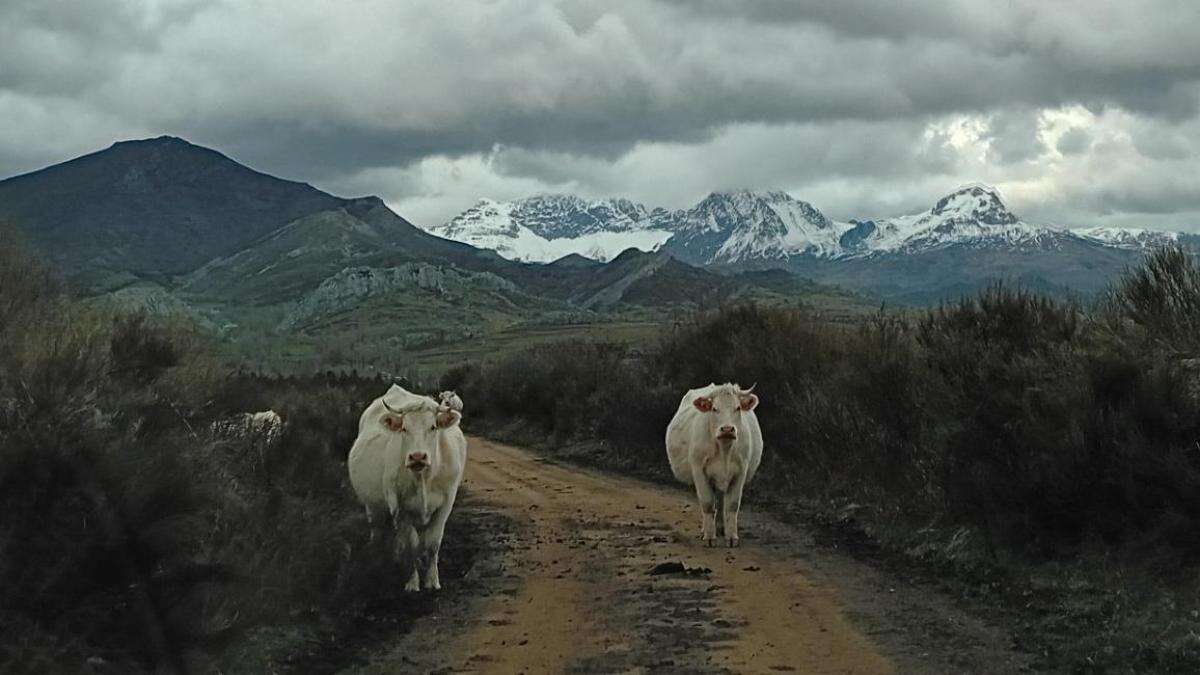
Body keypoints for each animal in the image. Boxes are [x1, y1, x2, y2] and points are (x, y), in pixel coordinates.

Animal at [348, 384, 463, 588]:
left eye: (433, 427)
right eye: (404, 428)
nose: (417, 456)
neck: (423, 477)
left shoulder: (445, 504)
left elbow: (433, 543)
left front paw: (432, 580)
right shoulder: (400, 508)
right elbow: (412, 546)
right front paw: (412, 582)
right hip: (374, 507)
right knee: (379, 532)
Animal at [662, 381, 763, 542]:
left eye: (738, 408)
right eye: (715, 409)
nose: (727, 429)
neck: (724, 450)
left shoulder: (740, 471)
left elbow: (732, 505)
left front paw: (732, 537)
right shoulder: (699, 471)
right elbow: (708, 504)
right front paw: (709, 536)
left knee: (721, 501)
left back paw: (721, 528)